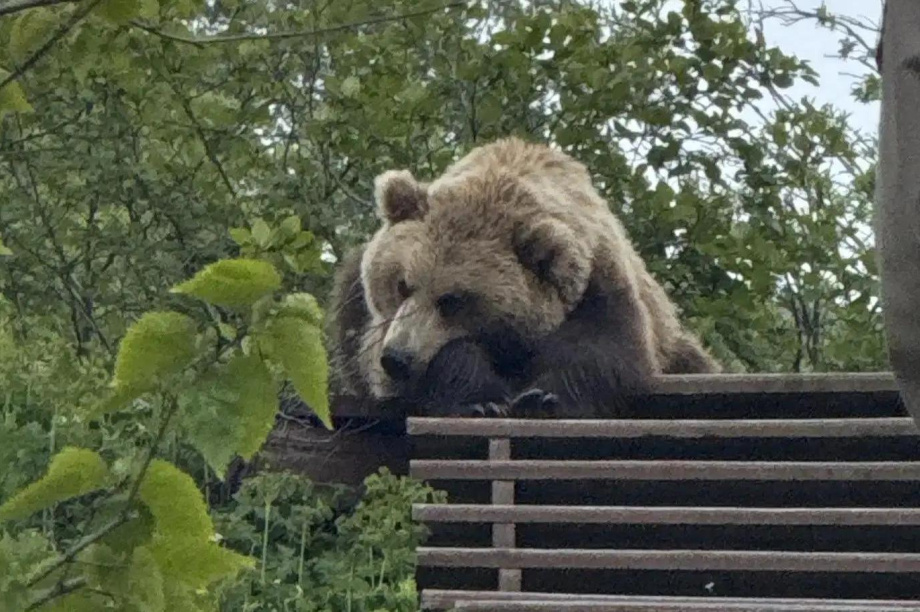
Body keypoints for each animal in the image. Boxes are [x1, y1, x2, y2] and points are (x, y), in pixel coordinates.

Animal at [326, 137, 720, 418]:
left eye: (452, 300)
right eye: (401, 284)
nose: (398, 358)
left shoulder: (603, 283)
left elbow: (603, 350)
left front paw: (542, 396)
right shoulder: (372, 325)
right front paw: (482, 399)